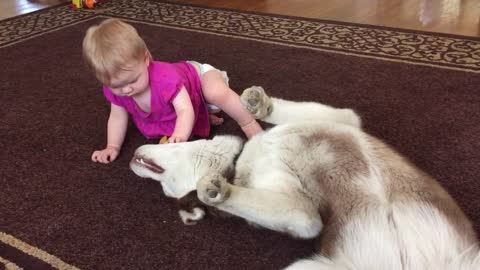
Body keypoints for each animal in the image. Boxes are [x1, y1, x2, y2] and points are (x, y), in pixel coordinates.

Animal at [129, 86, 478, 268]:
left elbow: (286, 111)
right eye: (168, 192)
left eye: (174, 141)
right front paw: (216, 191)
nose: (132, 160)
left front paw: (259, 104)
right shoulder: (303, 216)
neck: (239, 162)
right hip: (308, 265)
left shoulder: (344, 120)